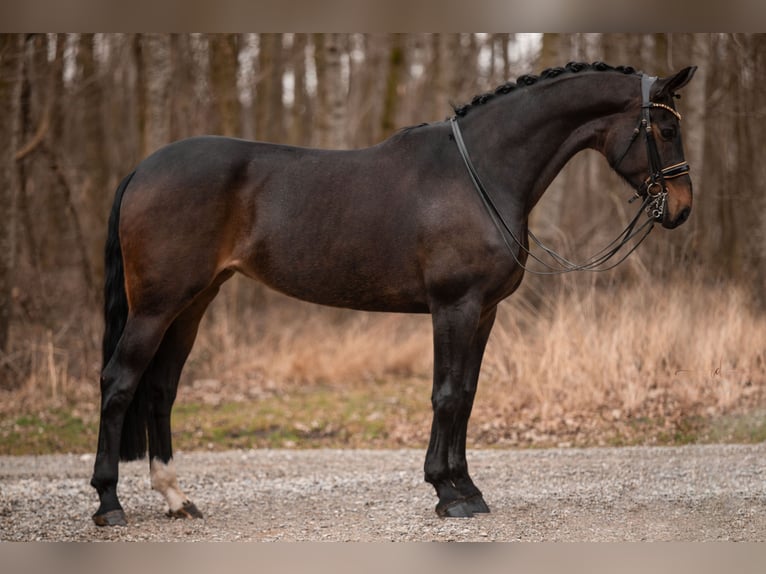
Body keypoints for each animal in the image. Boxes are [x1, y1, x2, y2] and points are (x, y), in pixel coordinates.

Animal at [88, 62, 696, 528]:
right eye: (665, 132)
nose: (683, 208)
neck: (480, 173)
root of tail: (143, 169)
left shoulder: (484, 312)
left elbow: (467, 395)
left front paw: (466, 488)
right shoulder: (454, 306)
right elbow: (446, 395)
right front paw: (448, 493)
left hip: (193, 304)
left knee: (161, 387)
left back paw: (177, 498)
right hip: (157, 306)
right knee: (120, 383)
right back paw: (109, 503)